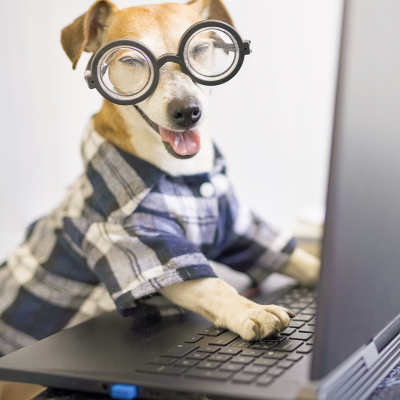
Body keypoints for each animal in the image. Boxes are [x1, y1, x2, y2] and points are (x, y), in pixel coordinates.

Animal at [0, 0, 318, 390]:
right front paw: (251, 310)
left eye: (199, 48)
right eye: (131, 60)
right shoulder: (139, 245)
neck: (184, 176)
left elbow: (296, 257)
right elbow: (213, 286)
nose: (187, 112)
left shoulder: (238, 227)